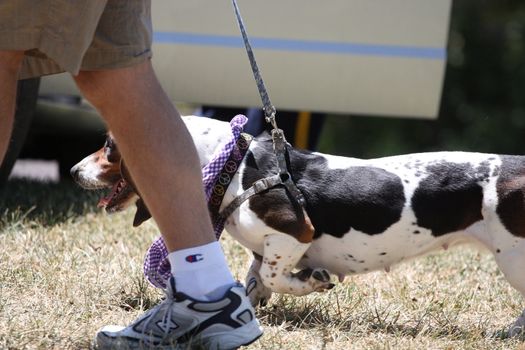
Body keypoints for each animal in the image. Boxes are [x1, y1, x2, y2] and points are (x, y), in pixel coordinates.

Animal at [71, 116, 524, 338]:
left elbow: (277, 276)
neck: (234, 167)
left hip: (514, 257)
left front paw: (312, 281)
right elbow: (254, 283)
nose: (74, 171)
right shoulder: (263, 250)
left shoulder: (292, 235)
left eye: (109, 146)